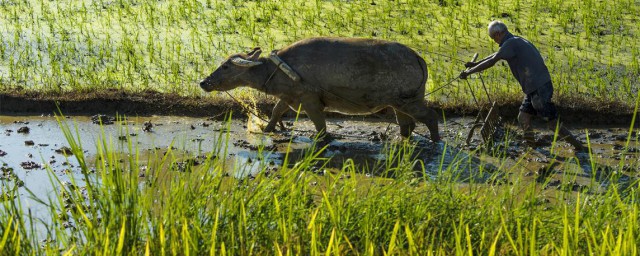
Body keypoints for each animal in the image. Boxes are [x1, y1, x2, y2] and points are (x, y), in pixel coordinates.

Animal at [200, 37, 440, 142]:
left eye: (226, 66)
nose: (203, 82)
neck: (277, 69)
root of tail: (418, 58)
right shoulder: (288, 96)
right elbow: (276, 112)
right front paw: (268, 129)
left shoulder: (310, 101)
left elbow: (320, 124)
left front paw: (322, 138)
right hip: (400, 104)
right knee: (407, 125)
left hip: (409, 101)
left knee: (430, 116)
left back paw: (436, 141)